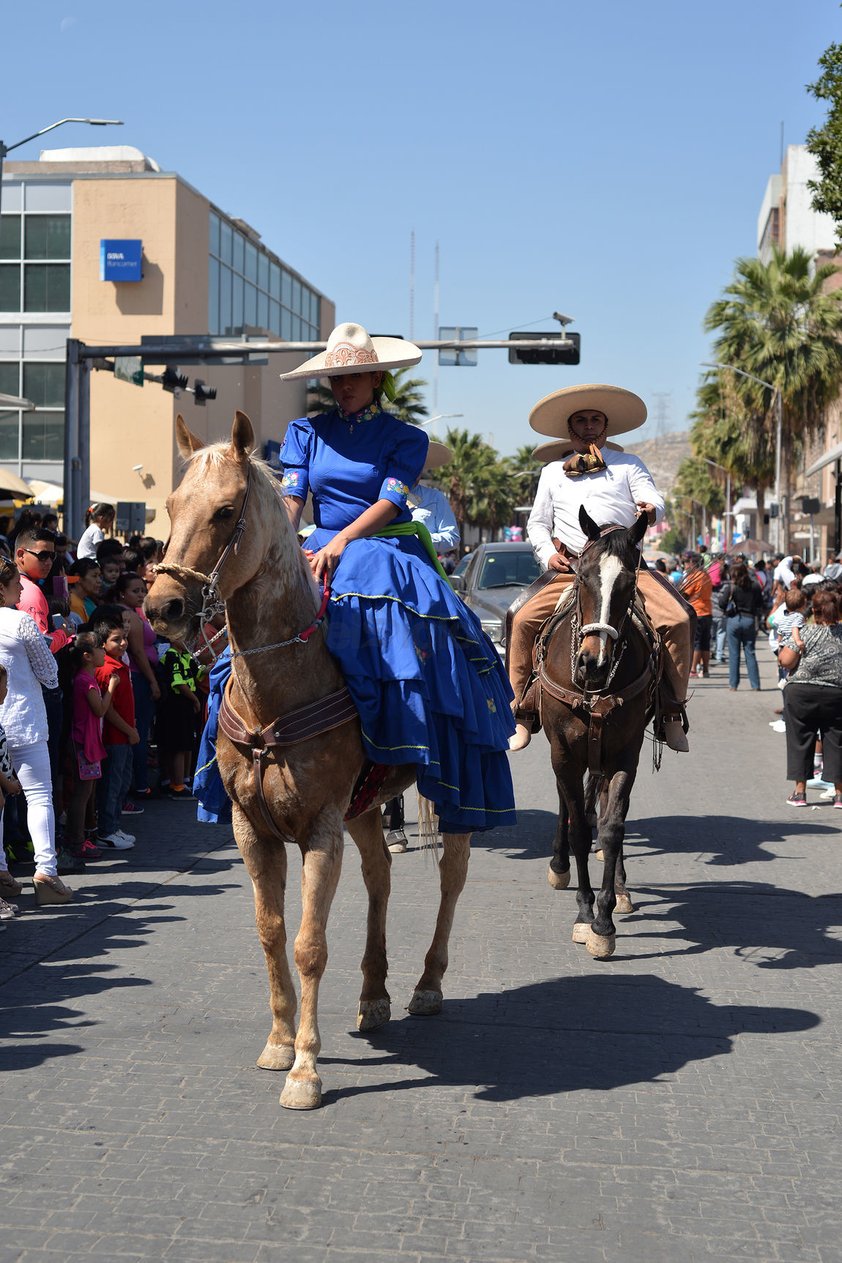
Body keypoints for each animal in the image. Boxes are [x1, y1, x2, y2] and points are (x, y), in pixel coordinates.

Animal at [145, 411, 474, 1106]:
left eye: (226, 511)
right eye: (173, 505)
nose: (162, 608)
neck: (281, 685)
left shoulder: (321, 827)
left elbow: (309, 945)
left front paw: (305, 1068)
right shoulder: (252, 827)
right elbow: (271, 932)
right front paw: (278, 1041)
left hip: (458, 787)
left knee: (450, 879)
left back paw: (427, 984)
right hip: (366, 807)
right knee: (380, 874)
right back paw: (374, 994)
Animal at [540, 502, 656, 954]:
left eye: (629, 583)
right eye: (581, 576)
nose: (594, 662)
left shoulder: (625, 753)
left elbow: (611, 828)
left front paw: (604, 920)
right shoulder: (563, 752)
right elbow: (579, 826)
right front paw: (584, 912)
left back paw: (620, 889)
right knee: (569, 806)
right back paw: (559, 865)